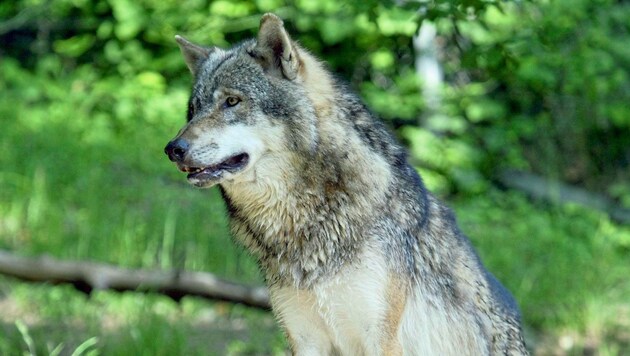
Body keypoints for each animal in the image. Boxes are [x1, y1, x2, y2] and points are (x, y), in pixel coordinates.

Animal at [165, 12, 532, 354]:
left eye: (232, 101)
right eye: (194, 109)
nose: (173, 149)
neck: (310, 217)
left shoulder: (381, 339)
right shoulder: (305, 339)